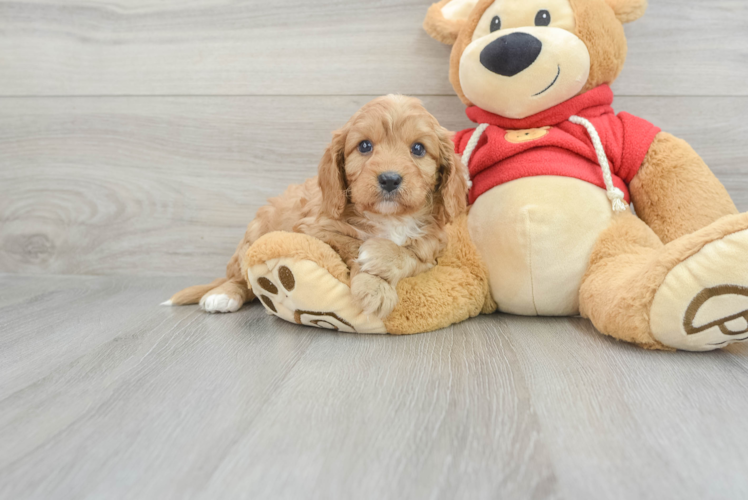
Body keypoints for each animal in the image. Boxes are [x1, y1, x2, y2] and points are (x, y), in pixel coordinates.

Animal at [167, 95, 468, 318]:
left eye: (418, 149)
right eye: (365, 146)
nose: (390, 179)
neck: (389, 219)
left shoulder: (432, 248)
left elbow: (413, 256)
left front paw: (381, 260)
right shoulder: (314, 230)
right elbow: (351, 243)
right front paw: (374, 287)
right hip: (254, 235)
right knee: (242, 277)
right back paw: (222, 295)